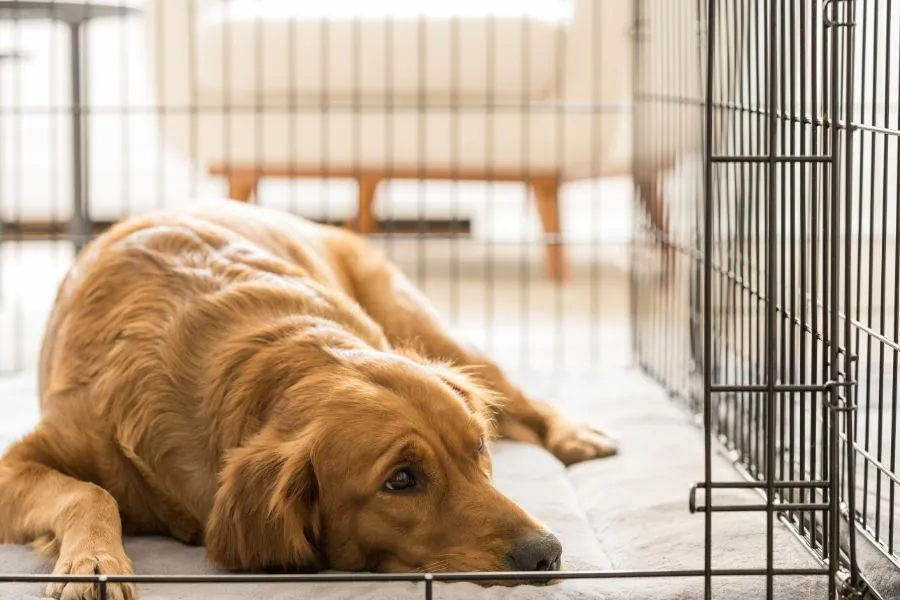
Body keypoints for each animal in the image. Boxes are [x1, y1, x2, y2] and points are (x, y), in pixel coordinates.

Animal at [0, 200, 616, 600]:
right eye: (401, 480)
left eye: (479, 449)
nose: (546, 552)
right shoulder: (15, 465)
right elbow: (90, 492)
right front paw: (96, 562)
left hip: (425, 326)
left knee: (520, 396)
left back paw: (576, 435)